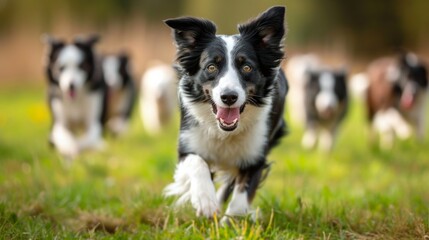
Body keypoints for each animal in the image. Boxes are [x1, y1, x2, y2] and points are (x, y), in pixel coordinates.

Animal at [163, 6, 288, 223]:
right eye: (211, 67)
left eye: (247, 67)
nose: (229, 97)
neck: (224, 132)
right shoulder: (187, 146)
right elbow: (198, 163)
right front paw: (205, 201)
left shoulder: (255, 156)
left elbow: (240, 200)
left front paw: (230, 222)